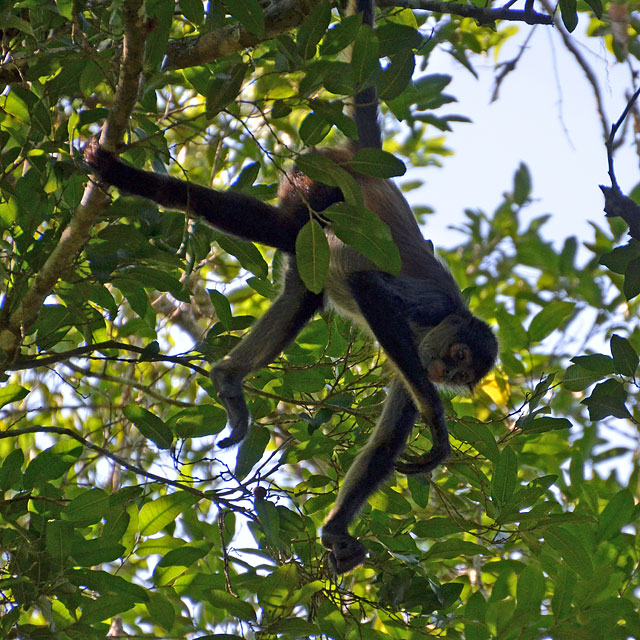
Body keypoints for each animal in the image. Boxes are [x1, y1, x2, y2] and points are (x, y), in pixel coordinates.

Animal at [82, 0, 498, 576]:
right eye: (458, 356)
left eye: (461, 374)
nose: (444, 374)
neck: (442, 324)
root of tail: (364, 162)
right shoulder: (429, 313)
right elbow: (368, 286)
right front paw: (439, 427)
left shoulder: (416, 358)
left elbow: (391, 435)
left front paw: (338, 530)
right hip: (315, 182)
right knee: (280, 230)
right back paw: (126, 176)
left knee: (304, 294)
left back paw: (229, 380)